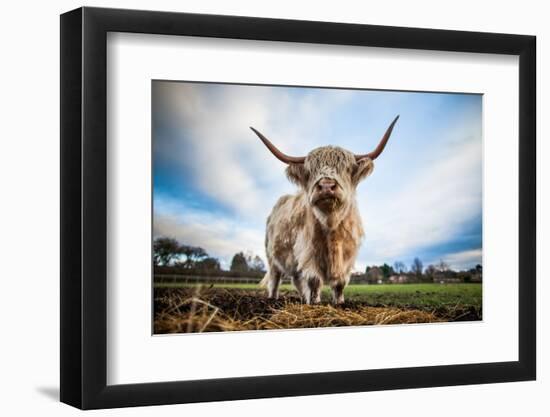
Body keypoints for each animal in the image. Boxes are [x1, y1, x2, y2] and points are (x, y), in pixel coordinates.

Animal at [251, 115, 402, 304]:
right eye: (310, 170)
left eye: (346, 168)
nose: (326, 186)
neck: (331, 226)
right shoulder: (309, 253)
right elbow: (314, 281)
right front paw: (315, 303)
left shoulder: (347, 255)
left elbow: (340, 283)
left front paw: (339, 303)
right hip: (272, 256)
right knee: (275, 278)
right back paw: (274, 298)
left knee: (296, 279)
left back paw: (303, 299)